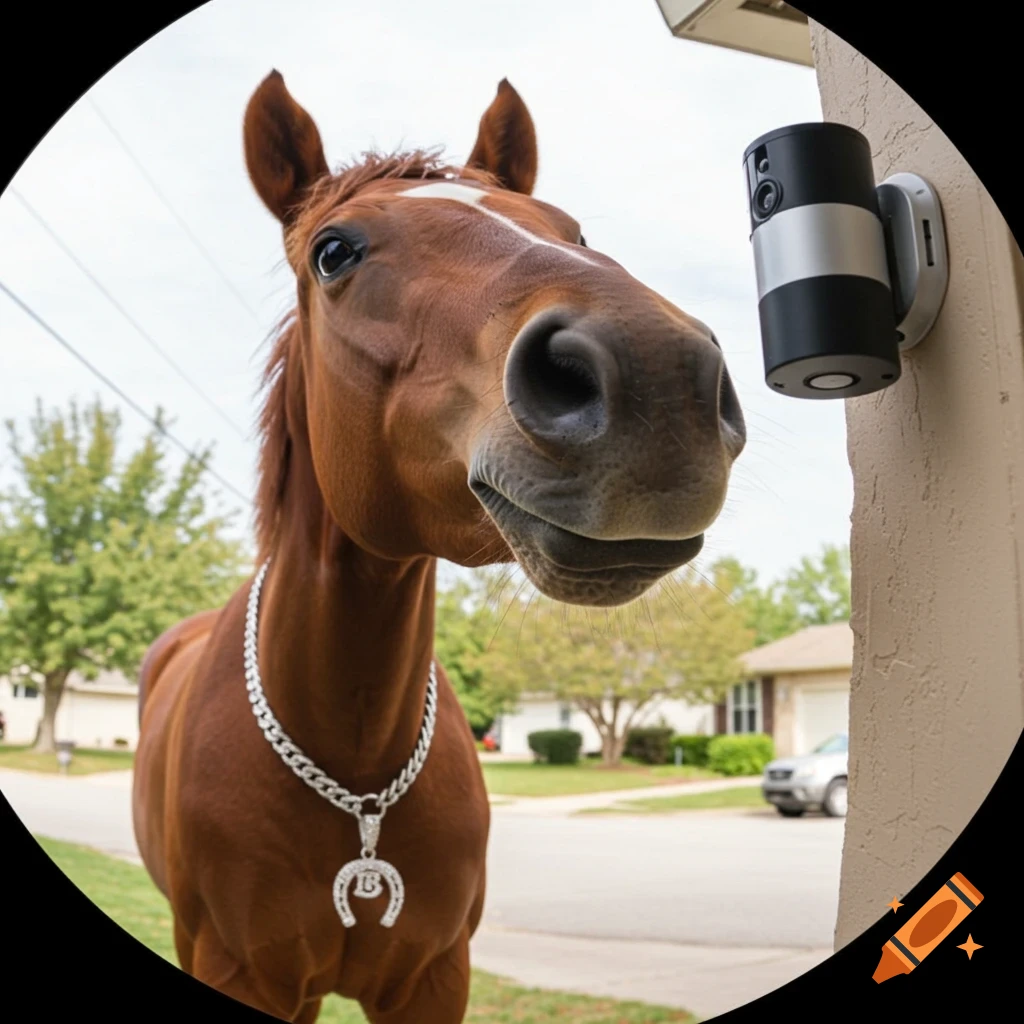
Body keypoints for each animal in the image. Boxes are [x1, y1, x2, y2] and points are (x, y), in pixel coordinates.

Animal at [131, 70, 746, 1024]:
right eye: (334, 252)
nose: (658, 376)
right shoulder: (244, 972)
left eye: (571, 230)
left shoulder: (434, 976)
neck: (356, 777)